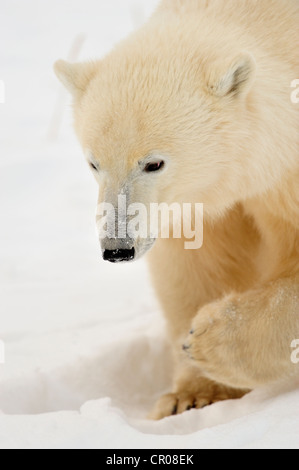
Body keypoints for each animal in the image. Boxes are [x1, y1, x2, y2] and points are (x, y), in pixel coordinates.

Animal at [54, 0, 299, 418]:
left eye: (154, 163)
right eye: (94, 162)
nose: (117, 248)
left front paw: (209, 339)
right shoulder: (198, 206)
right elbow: (194, 267)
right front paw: (191, 395)